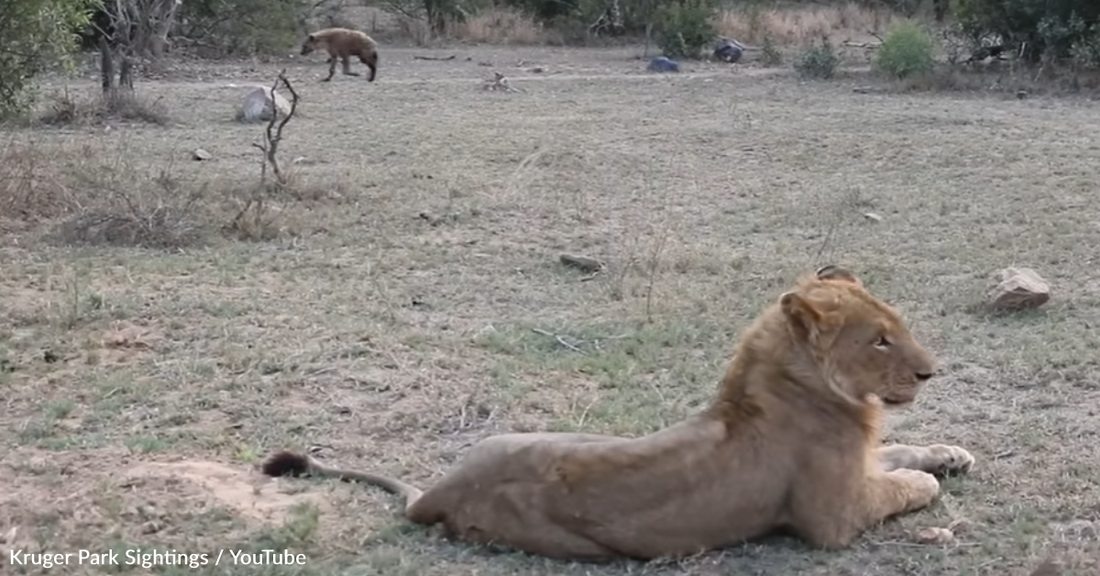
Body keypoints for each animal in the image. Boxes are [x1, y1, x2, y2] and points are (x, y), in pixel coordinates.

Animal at [261, 265, 975, 561]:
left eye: (897, 328)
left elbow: (898, 449)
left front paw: (953, 453)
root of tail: (438, 489)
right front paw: (929, 478)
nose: (930, 372)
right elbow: (898, 484)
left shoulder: (858, 462)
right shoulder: (834, 516)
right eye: (879, 340)